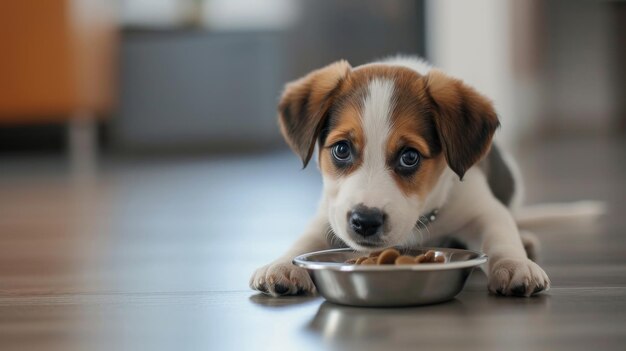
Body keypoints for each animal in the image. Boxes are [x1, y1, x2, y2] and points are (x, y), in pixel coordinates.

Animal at [251, 57, 548, 296]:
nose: (365, 221)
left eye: (409, 157)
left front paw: (515, 264)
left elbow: (500, 236)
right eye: (341, 149)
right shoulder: (329, 212)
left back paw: (526, 240)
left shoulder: (483, 209)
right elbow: (306, 239)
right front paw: (283, 264)